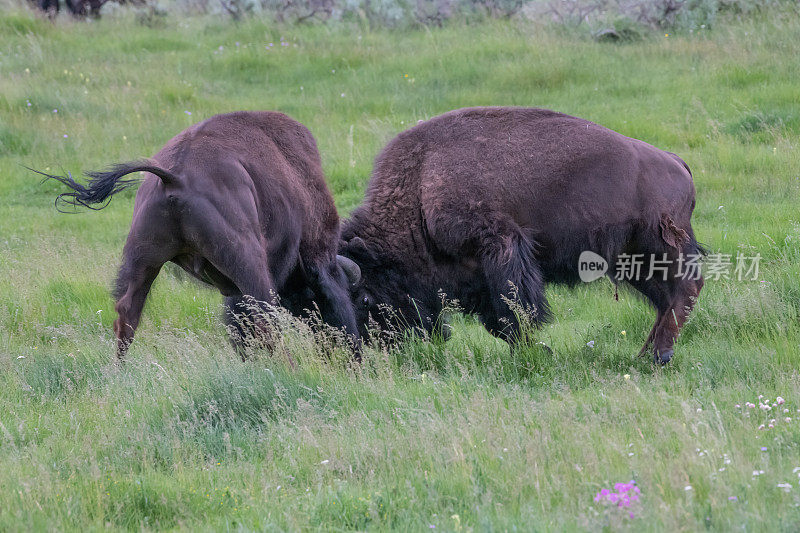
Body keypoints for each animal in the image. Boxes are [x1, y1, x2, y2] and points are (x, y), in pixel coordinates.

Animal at [37, 111, 360, 360]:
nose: (344, 352)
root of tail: (175, 176)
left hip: (142, 256)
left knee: (127, 314)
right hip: (248, 259)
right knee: (264, 317)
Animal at [340, 106, 704, 364]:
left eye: (365, 298)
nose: (380, 343)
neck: (420, 187)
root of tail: (676, 163)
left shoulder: (500, 249)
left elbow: (513, 311)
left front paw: (535, 351)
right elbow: (498, 322)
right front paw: (537, 350)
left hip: (659, 244)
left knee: (686, 288)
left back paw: (660, 356)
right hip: (630, 259)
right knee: (665, 299)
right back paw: (644, 356)